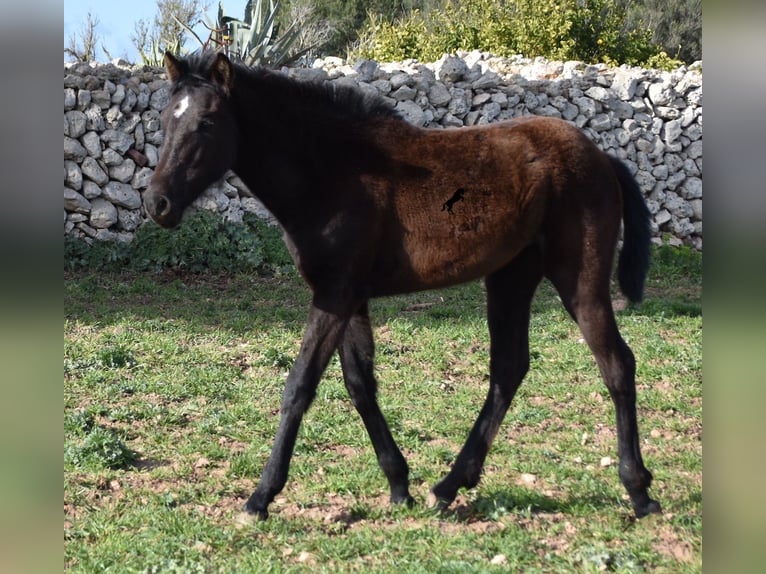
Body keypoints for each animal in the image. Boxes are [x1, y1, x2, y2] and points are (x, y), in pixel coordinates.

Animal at [147, 51, 664, 524]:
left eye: (207, 122)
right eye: (165, 119)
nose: (158, 204)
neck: (335, 172)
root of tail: (603, 157)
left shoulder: (334, 296)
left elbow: (299, 386)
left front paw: (260, 497)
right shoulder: (349, 297)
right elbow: (360, 386)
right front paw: (399, 485)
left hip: (580, 280)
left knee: (616, 364)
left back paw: (639, 491)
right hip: (511, 277)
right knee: (509, 368)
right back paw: (451, 485)